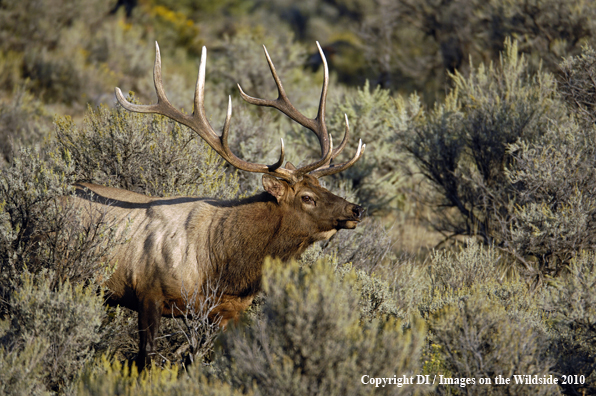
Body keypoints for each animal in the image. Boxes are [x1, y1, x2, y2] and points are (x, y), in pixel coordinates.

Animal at [73, 41, 366, 368]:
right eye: (307, 197)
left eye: (322, 186)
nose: (356, 209)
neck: (224, 269)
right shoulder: (147, 293)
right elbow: (146, 357)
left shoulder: (228, 312)